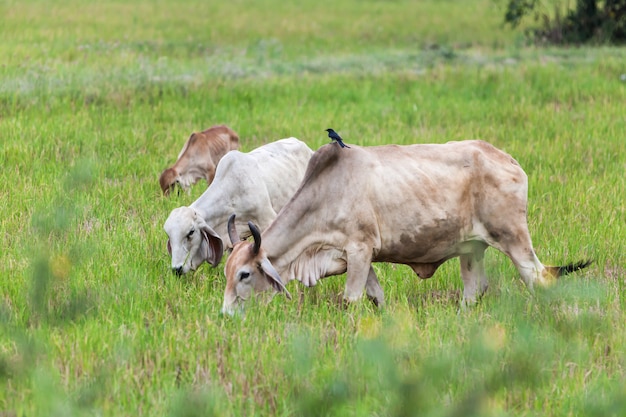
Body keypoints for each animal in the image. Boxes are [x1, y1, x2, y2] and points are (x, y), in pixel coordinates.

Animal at [223, 138, 588, 314]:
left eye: (245, 274)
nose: (227, 315)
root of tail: (510, 161)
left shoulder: (360, 248)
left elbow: (352, 299)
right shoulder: (356, 256)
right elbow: (376, 296)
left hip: (514, 239)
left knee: (538, 278)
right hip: (472, 249)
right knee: (474, 290)